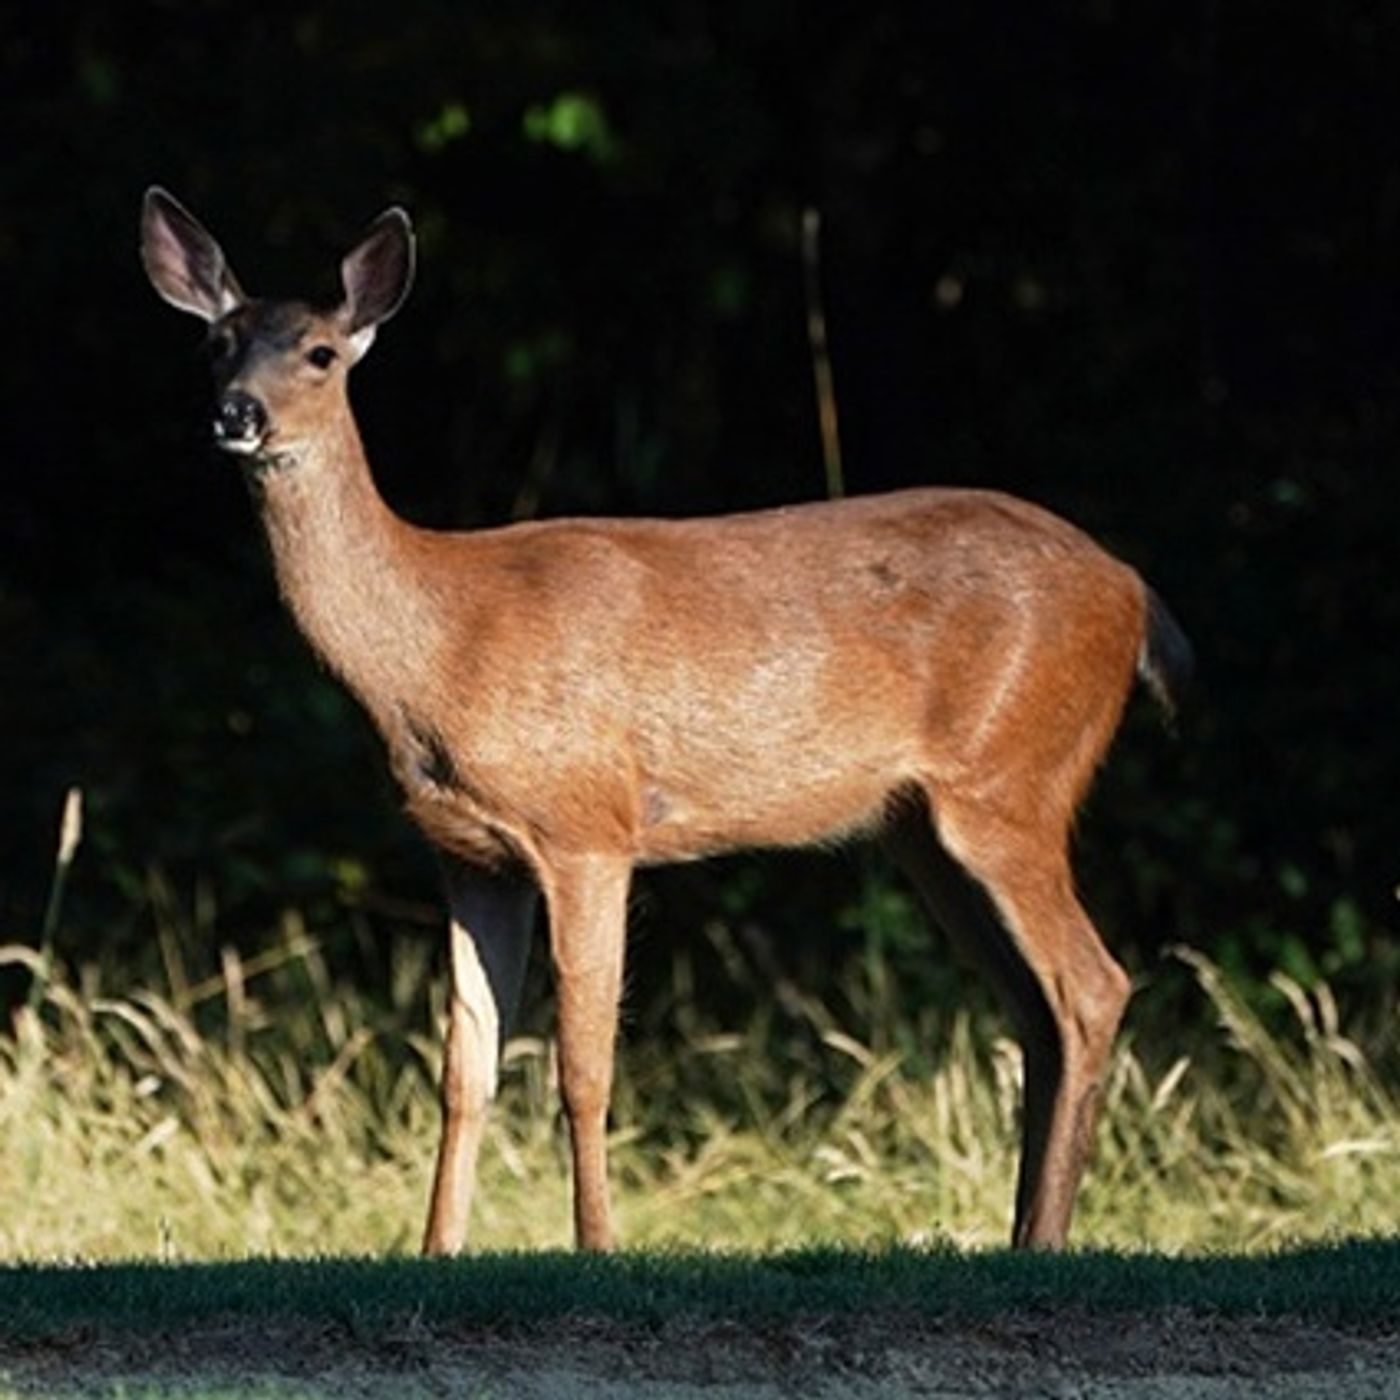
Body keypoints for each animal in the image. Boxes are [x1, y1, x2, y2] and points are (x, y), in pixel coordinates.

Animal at [140, 187, 1192, 1255]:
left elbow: (583, 1067)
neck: (437, 650)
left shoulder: (588, 826)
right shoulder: (469, 855)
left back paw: (1045, 1236)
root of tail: (1135, 594)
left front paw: (597, 1244)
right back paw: (1022, 1232)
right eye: (215, 344)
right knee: (1035, 1007)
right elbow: (464, 1073)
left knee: (1091, 986)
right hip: (925, 830)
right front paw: (434, 1251)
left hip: (1011, 780)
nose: (237, 413)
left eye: (319, 352)